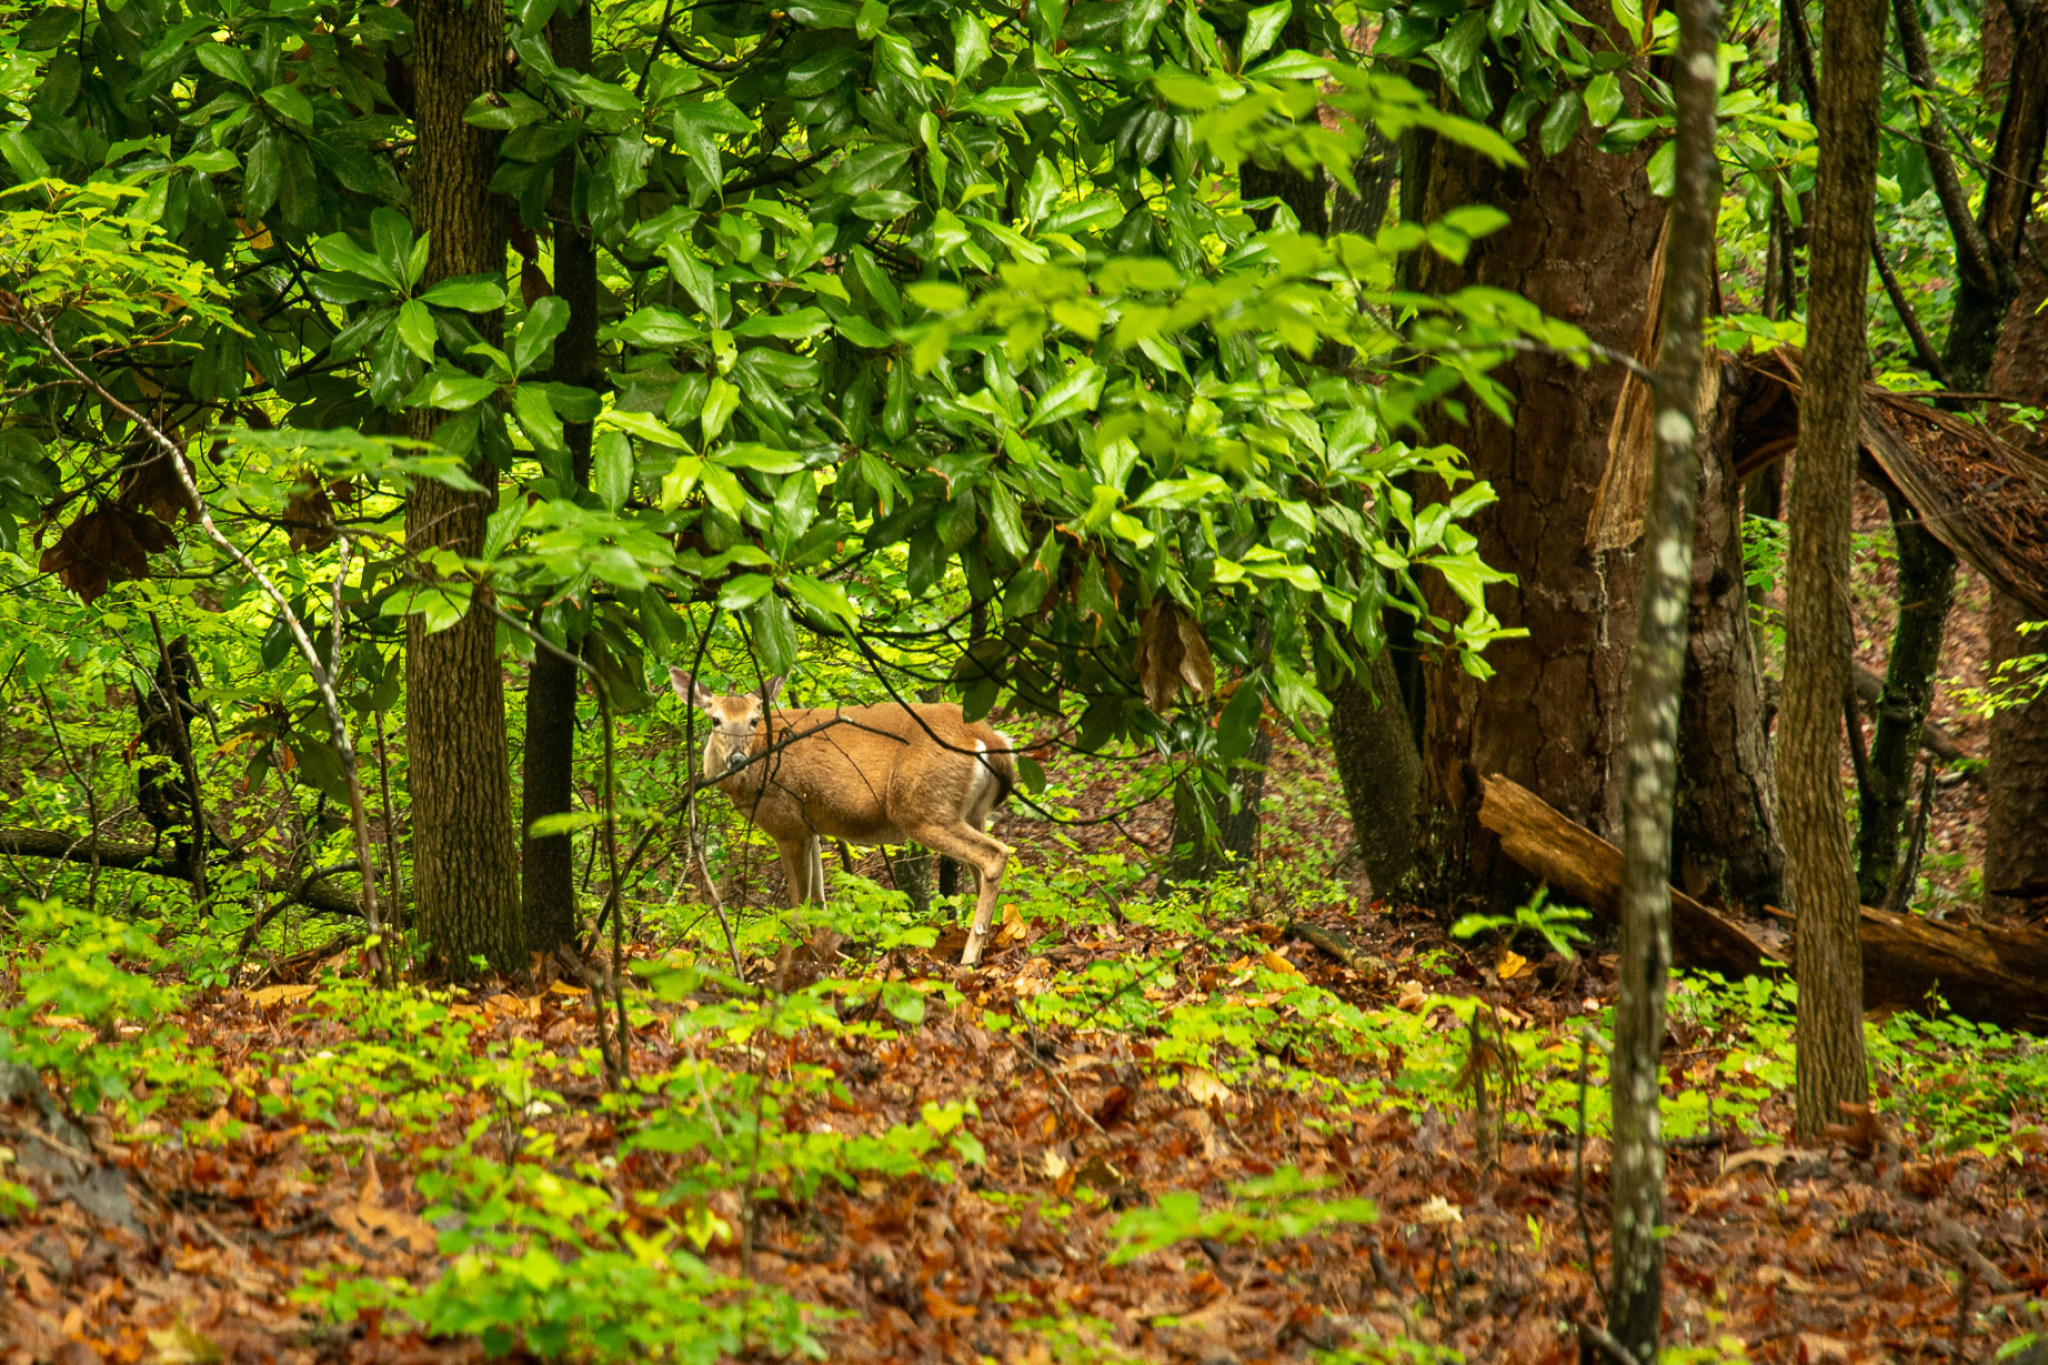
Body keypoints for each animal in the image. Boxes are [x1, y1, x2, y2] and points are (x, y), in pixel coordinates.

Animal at [671, 667, 1024, 965]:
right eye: (715, 720)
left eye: (755, 720)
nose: (736, 758)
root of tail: (991, 738)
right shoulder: (810, 826)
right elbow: (820, 898)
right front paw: (825, 952)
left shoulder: (787, 823)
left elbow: (799, 902)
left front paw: (792, 955)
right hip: (972, 812)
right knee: (981, 866)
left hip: (922, 808)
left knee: (994, 855)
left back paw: (970, 956)